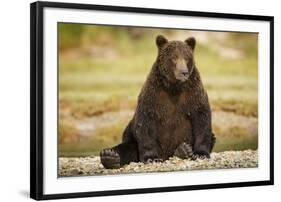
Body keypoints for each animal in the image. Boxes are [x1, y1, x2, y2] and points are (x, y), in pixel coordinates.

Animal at [99, 35, 214, 169]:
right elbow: (146, 122)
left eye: (186, 57)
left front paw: (201, 153)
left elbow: (201, 117)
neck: (174, 87)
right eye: (173, 58)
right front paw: (151, 158)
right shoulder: (154, 94)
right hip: (130, 133)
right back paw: (109, 156)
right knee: (127, 147)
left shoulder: (193, 92)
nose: (184, 72)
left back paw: (183, 150)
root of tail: (165, 156)